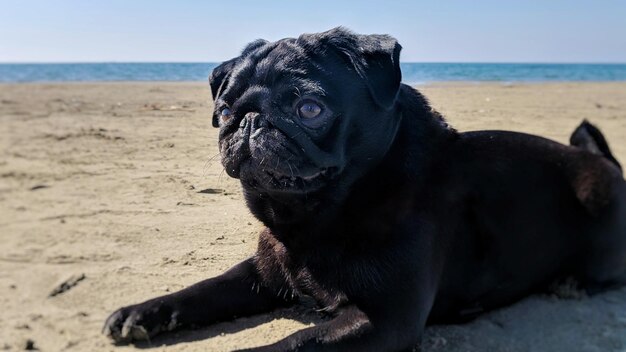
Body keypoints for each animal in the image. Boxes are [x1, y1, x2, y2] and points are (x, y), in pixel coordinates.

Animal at [103, 28, 624, 350]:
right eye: (225, 110)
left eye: (309, 108)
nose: (249, 121)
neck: (311, 217)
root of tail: (603, 162)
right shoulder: (263, 273)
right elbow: (204, 290)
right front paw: (143, 313)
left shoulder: (385, 320)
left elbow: (292, 342)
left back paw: (571, 283)